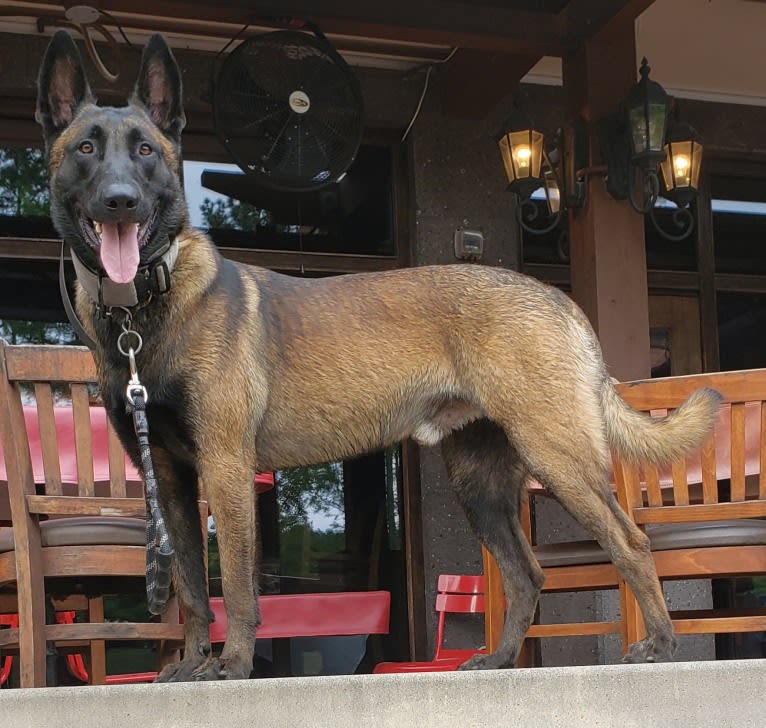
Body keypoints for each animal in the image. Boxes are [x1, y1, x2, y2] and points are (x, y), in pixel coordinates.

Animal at [34, 31, 720, 680]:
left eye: (146, 151)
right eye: (86, 149)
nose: (120, 199)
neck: (145, 309)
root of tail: (558, 299)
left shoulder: (226, 467)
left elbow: (238, 587)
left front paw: (230, 666)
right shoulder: (173, 481)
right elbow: (192, 588)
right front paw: (189, 664)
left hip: (557, 455)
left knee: (631, 543)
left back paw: (661, 646)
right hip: (482, 485)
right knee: (527, 572)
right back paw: (500, 660)